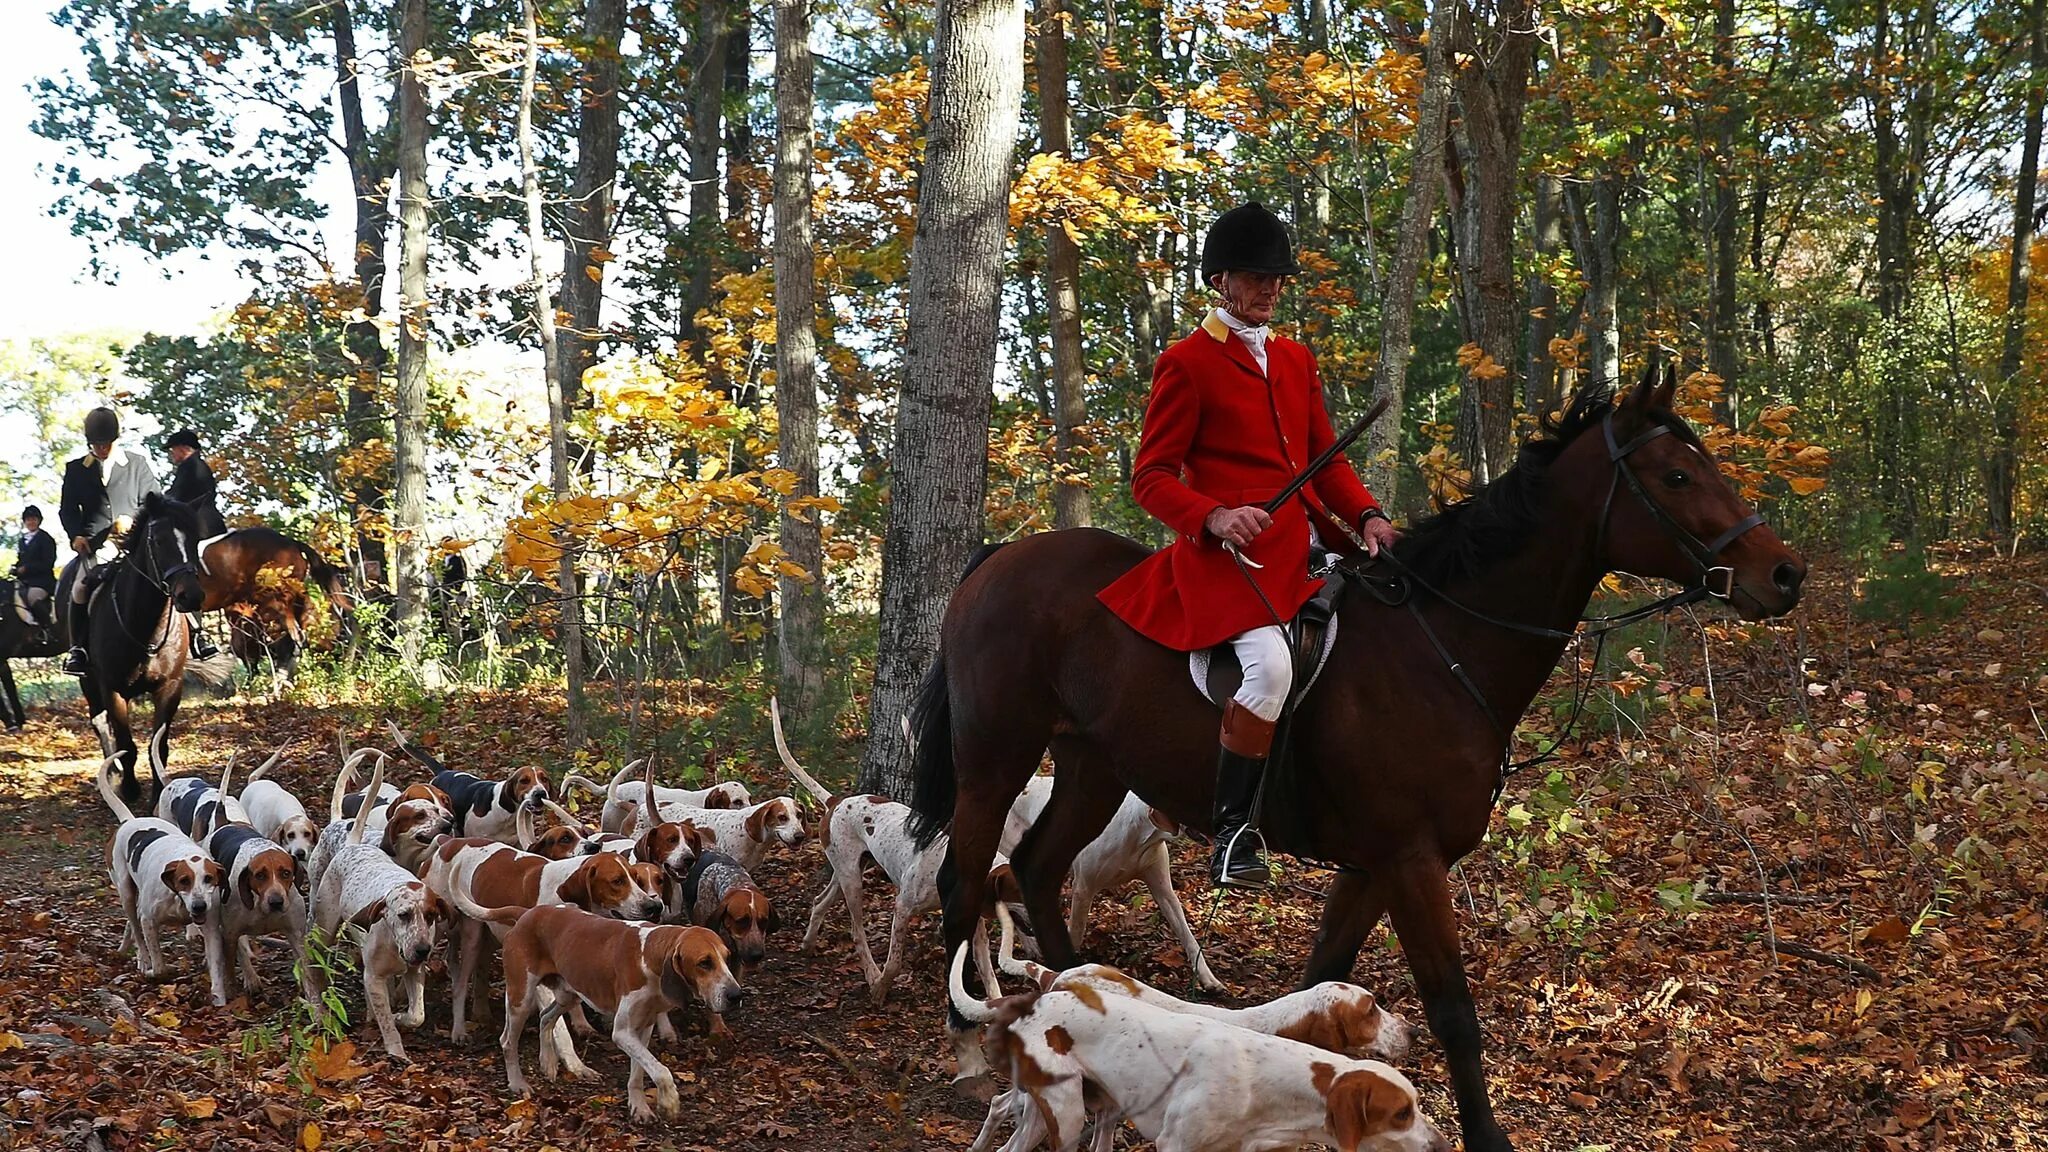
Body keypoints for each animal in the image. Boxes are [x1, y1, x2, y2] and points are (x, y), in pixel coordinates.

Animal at [78, 494, 236, 807]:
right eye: (159, 541)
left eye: (195, 541)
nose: (191, 596)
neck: (144, 625)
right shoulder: (112, 689)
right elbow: (127, 745)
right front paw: (130, 789)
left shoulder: (169, 687)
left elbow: (158, 745)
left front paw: (159, 793)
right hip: (88, 682)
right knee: (100, 723)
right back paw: (112, 775)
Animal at [913, 368, 1810, 1147]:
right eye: (1676, 476)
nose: (1785, 573)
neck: (1443, 646)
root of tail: (1000, 557)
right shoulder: (1410, 860)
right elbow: (1452, 1009)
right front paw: (1486, 1136)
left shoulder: (1374, 864)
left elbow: (1324, 975)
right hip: (995, 757)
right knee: (965, 879)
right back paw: (969, 1051)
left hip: (1093, 766)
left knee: (1037, 866)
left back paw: (1092, 1007)